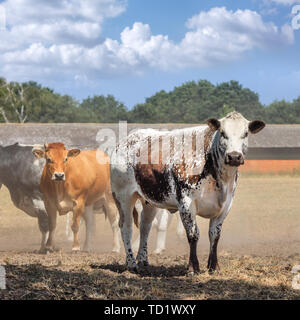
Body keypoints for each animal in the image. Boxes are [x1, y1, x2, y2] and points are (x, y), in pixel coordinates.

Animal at [110, 111, 264, 274]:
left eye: (245, 133)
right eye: (223, 133)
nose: (234, 156)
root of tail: (125, 142)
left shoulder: (225, 205)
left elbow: (214, 235)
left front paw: (213, 267)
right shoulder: (186, 203)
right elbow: (193, 234)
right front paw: (193, 268)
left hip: (149, 201)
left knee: (145, 226)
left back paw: (143, 261)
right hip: (123, 197)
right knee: (126, 227)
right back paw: (131, 263)